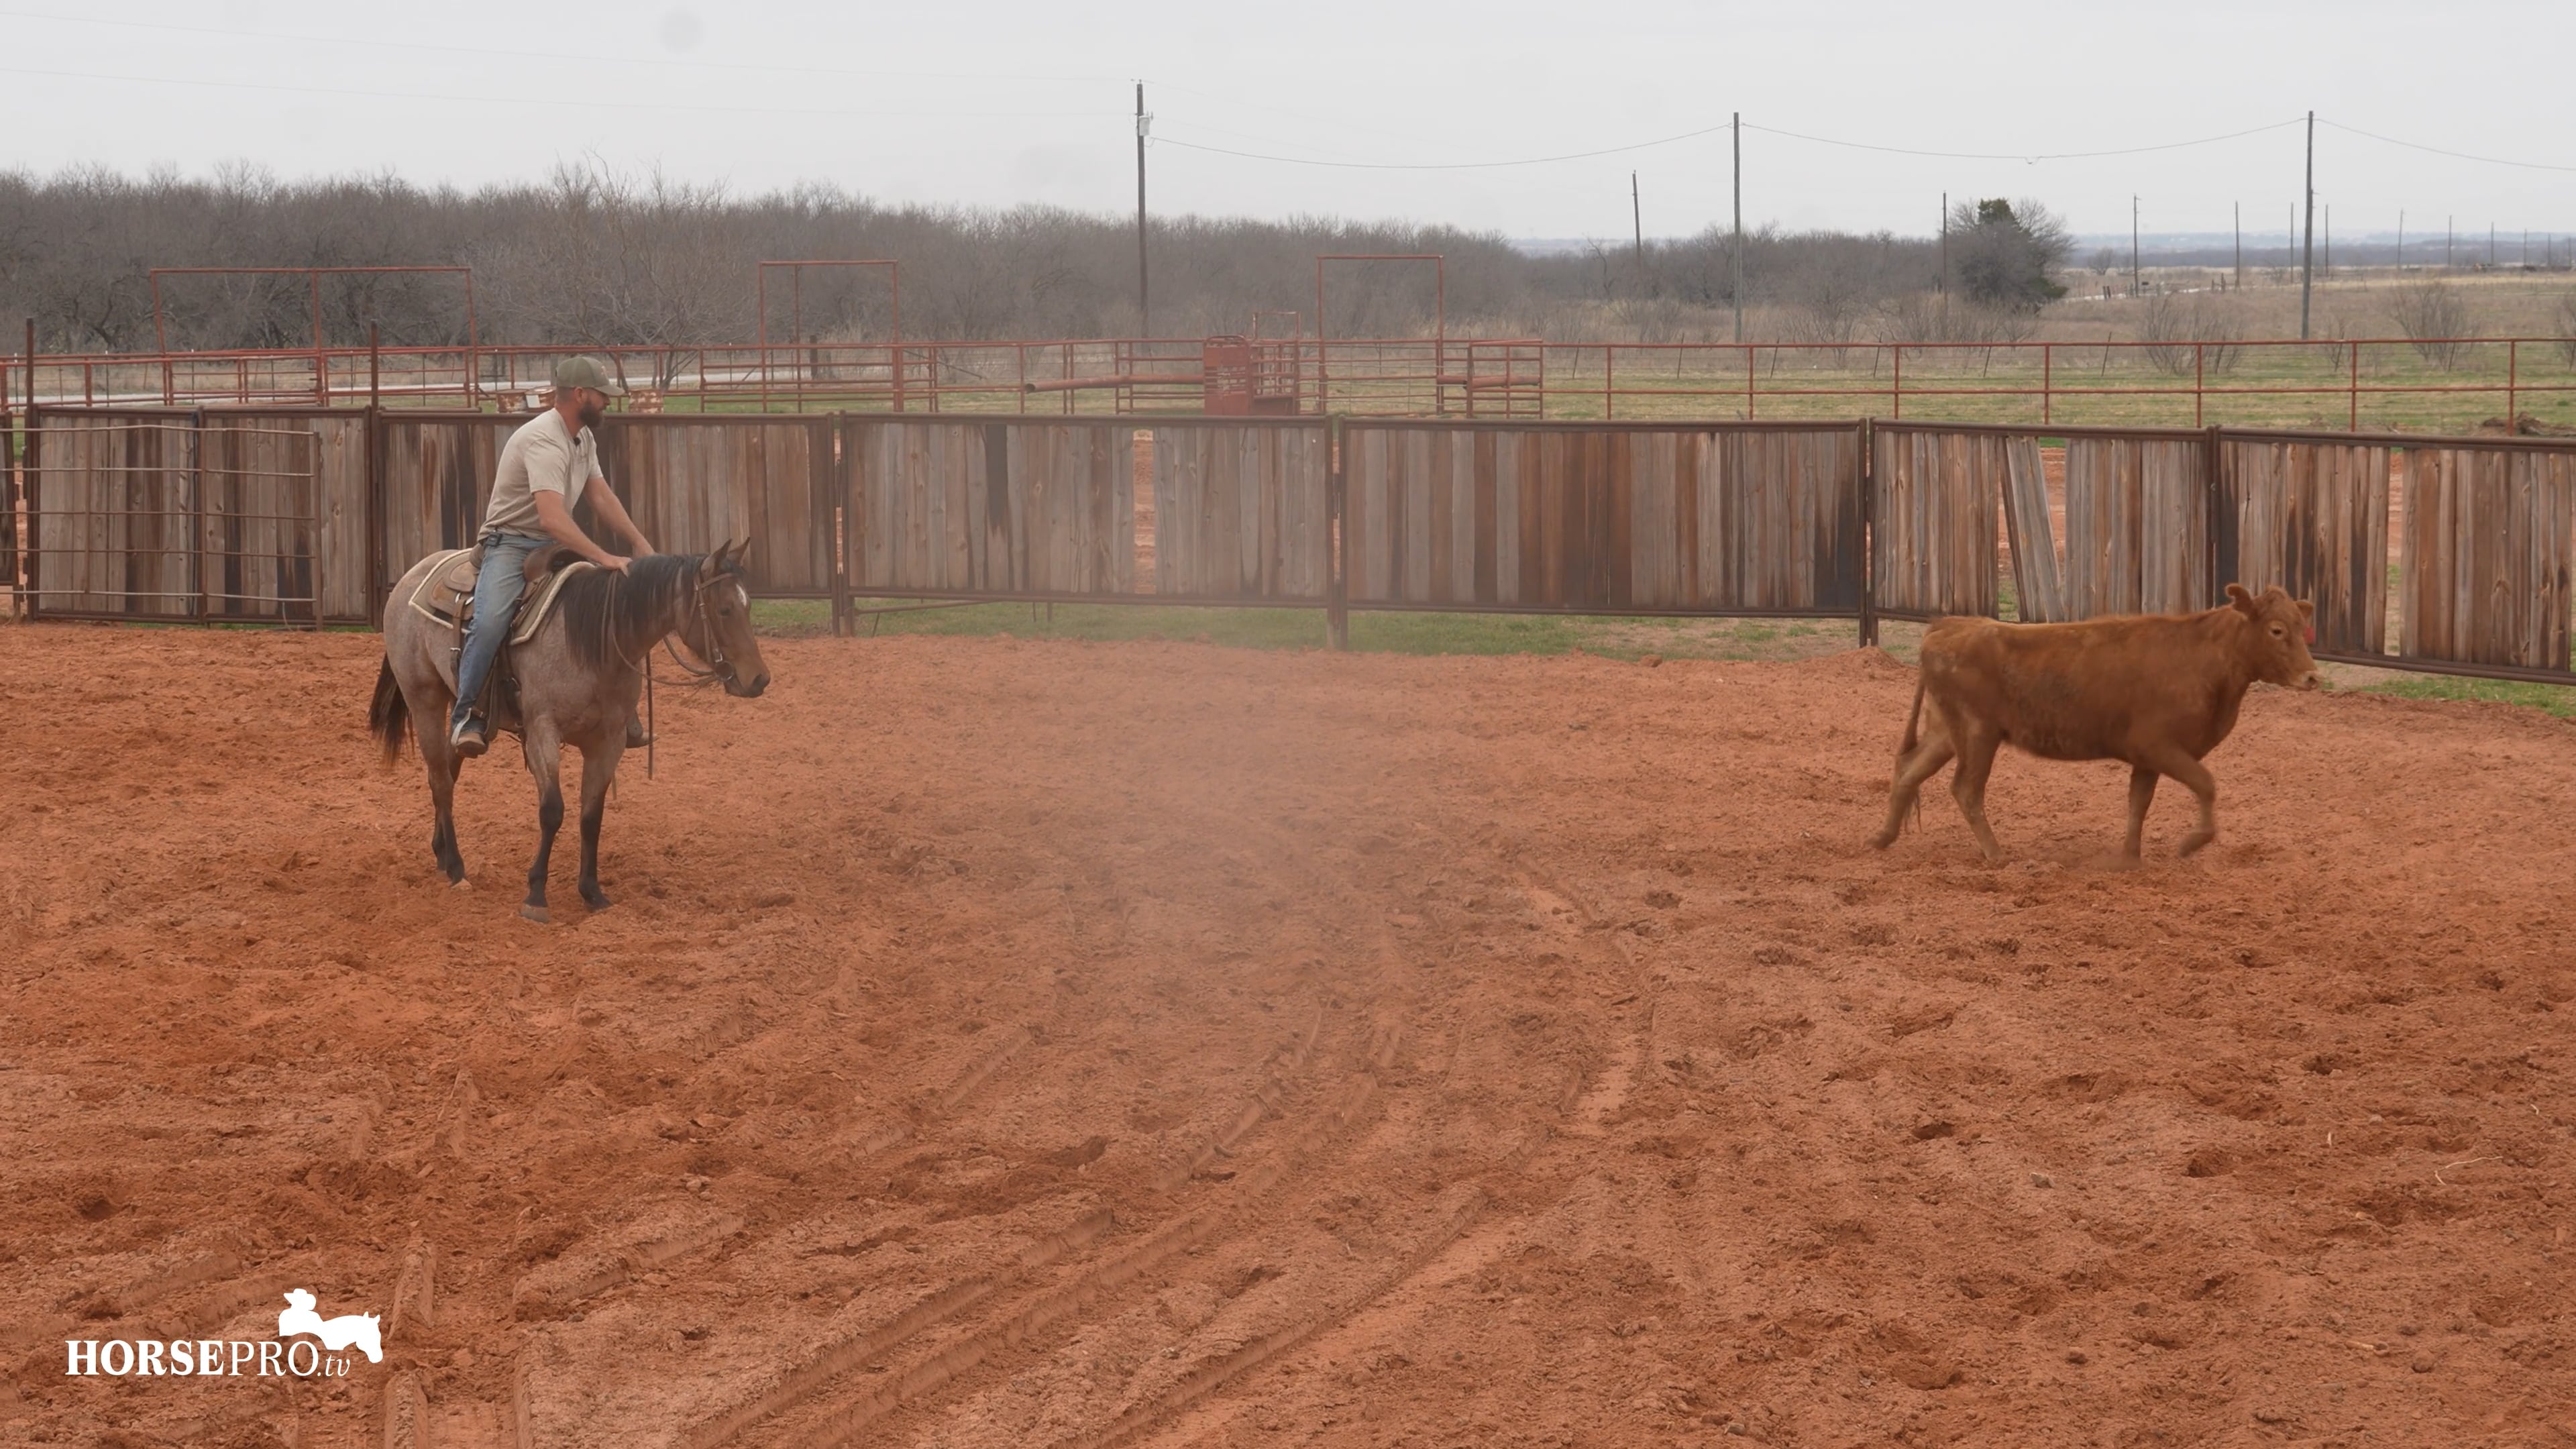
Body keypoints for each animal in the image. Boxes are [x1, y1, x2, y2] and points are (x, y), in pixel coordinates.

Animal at [1871, 583, 2321, 862]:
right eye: (2277, 630)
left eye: (2303, 628)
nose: (2312, 677)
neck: (2202, 659)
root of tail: (1947, 627)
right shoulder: (2160, 747)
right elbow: (2206, 784)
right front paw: (2192, 843)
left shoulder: (2147, 759)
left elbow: (2138, 804)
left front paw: (2128, 858)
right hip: (1978, 733)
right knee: (1966, 789)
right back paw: (1997, 856)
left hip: (1947, 732)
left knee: (1909, 771)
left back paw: (1883, 837)